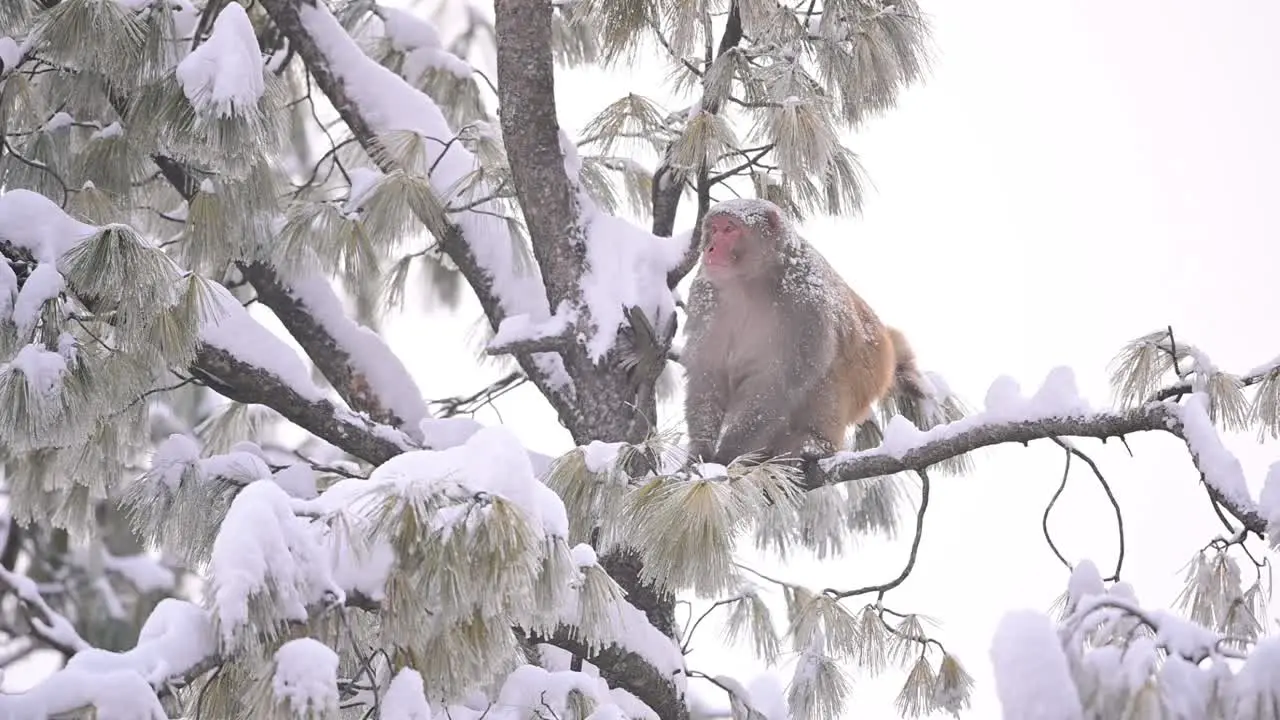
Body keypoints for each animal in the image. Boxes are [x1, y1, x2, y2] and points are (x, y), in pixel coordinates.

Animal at [680, 196, 931, 468]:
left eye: (729, 229)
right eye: (714, 229)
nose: (710, 249)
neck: (751, 282)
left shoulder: (806, 299)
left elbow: (781, 379)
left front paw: (728, 453)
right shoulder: (706, 293)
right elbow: (708, 370)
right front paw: (700, 453)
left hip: (867, 380)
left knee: (828, 371)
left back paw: (814, 444)